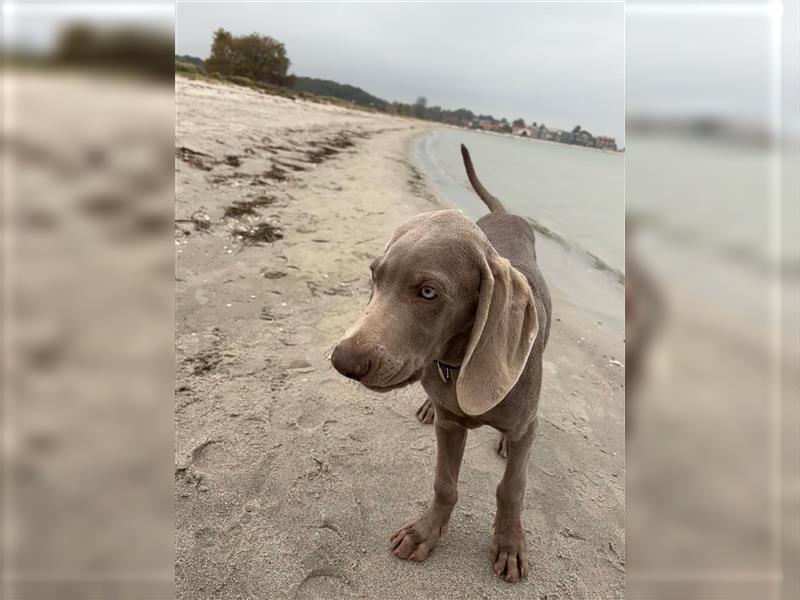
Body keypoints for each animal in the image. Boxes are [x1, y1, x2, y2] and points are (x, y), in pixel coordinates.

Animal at [332, 144, 552, 580]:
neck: (456, 364)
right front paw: (425, 532)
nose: (341, 360)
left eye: (428, 292)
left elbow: (512, 488)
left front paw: (509, 544)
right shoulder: (451, 426)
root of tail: (504, 213)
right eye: (374, 275)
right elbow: (444, 483)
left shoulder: (525, 428)